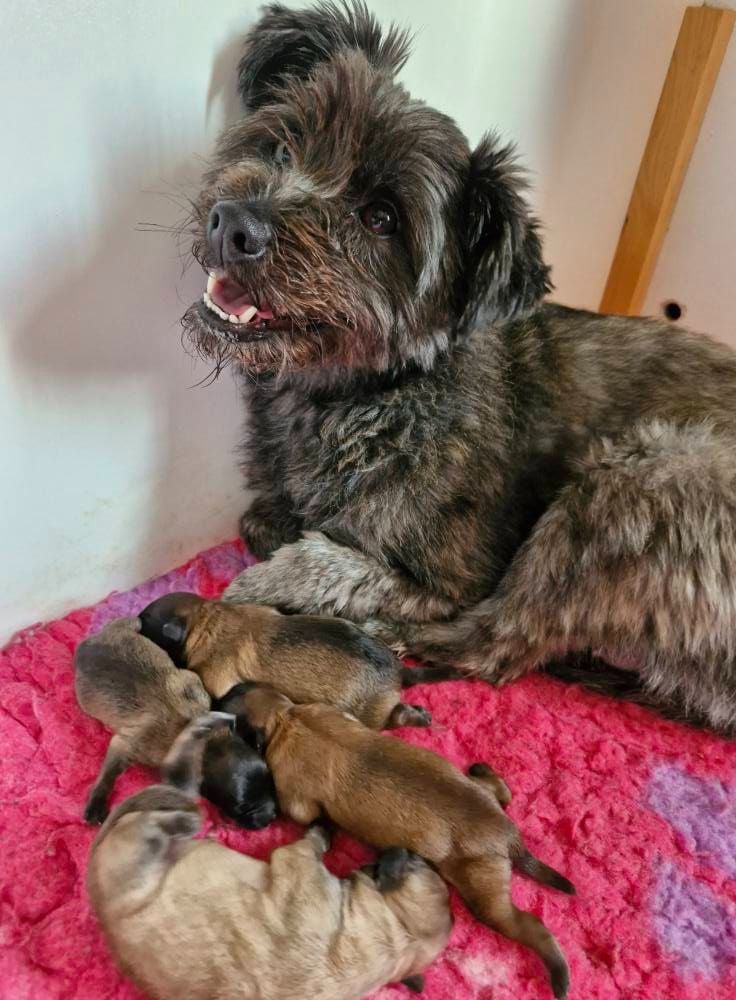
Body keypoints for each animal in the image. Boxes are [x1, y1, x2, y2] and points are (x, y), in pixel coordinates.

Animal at [88, 712, 452, 1000]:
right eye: (420, 863)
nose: (399, 850)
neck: (397, 939)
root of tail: (102, 908)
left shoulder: (298, 860)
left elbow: (311, 843)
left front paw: (323, 830)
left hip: (144, 850)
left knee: (176, 786)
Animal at [139, 592, 458, 728]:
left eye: (145, 623)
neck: (206, 619)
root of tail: (400, 670)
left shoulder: (217, 677)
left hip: (370, 713)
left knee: (392, 718)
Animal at [178, 0, 736, 736]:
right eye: (282, 147)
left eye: (381, 217)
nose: (235, 223)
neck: (371, 393)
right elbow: (262, 520)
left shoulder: (458, 569)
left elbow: (364, 571)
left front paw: (288, 578)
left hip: (642, 477)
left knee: (493, 645)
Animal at [236, 684, 576, 1000]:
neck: (286, 718)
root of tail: (508, 834)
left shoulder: (295, 797)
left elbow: (300, 811)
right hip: (480, 799)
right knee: (502, 792)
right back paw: (484, 771)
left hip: (484, 893)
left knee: (530, 926)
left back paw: (559, 973)